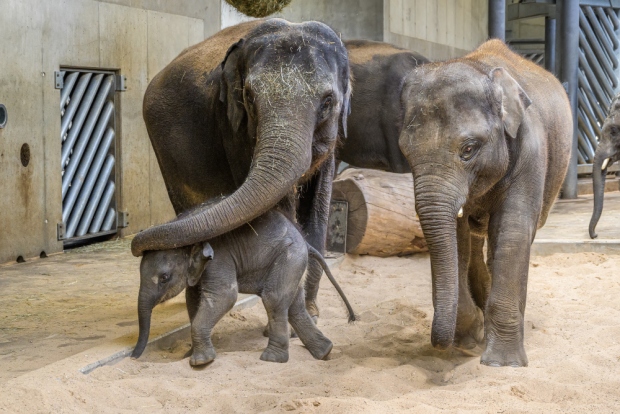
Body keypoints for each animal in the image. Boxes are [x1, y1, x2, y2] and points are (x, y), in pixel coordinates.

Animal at [128, 19, 352, 324]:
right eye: (249, 97)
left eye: (328, 101)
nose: (138, 243)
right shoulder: (233, 129)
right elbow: (278, 208)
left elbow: (318, 210)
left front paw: (311, 314)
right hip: (165, 148)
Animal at [131, 209, 354, 368]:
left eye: (164, 278)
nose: (133, 357)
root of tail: (305, 243)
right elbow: (192, 301)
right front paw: (188, 355)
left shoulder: (219, 260)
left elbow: (225, 296)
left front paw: (201, 362)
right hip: (295, 263)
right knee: (294, 305)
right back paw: (324, 352)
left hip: (289, 257)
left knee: (273, 298)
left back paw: (272, 359)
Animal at [398, 40, 572, 368]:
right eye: (405, 152)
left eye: (468, 149)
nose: (437, 345)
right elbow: (457, 238)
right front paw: (469, 338)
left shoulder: (531, 149)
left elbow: (513, 230)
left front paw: (503, 363)